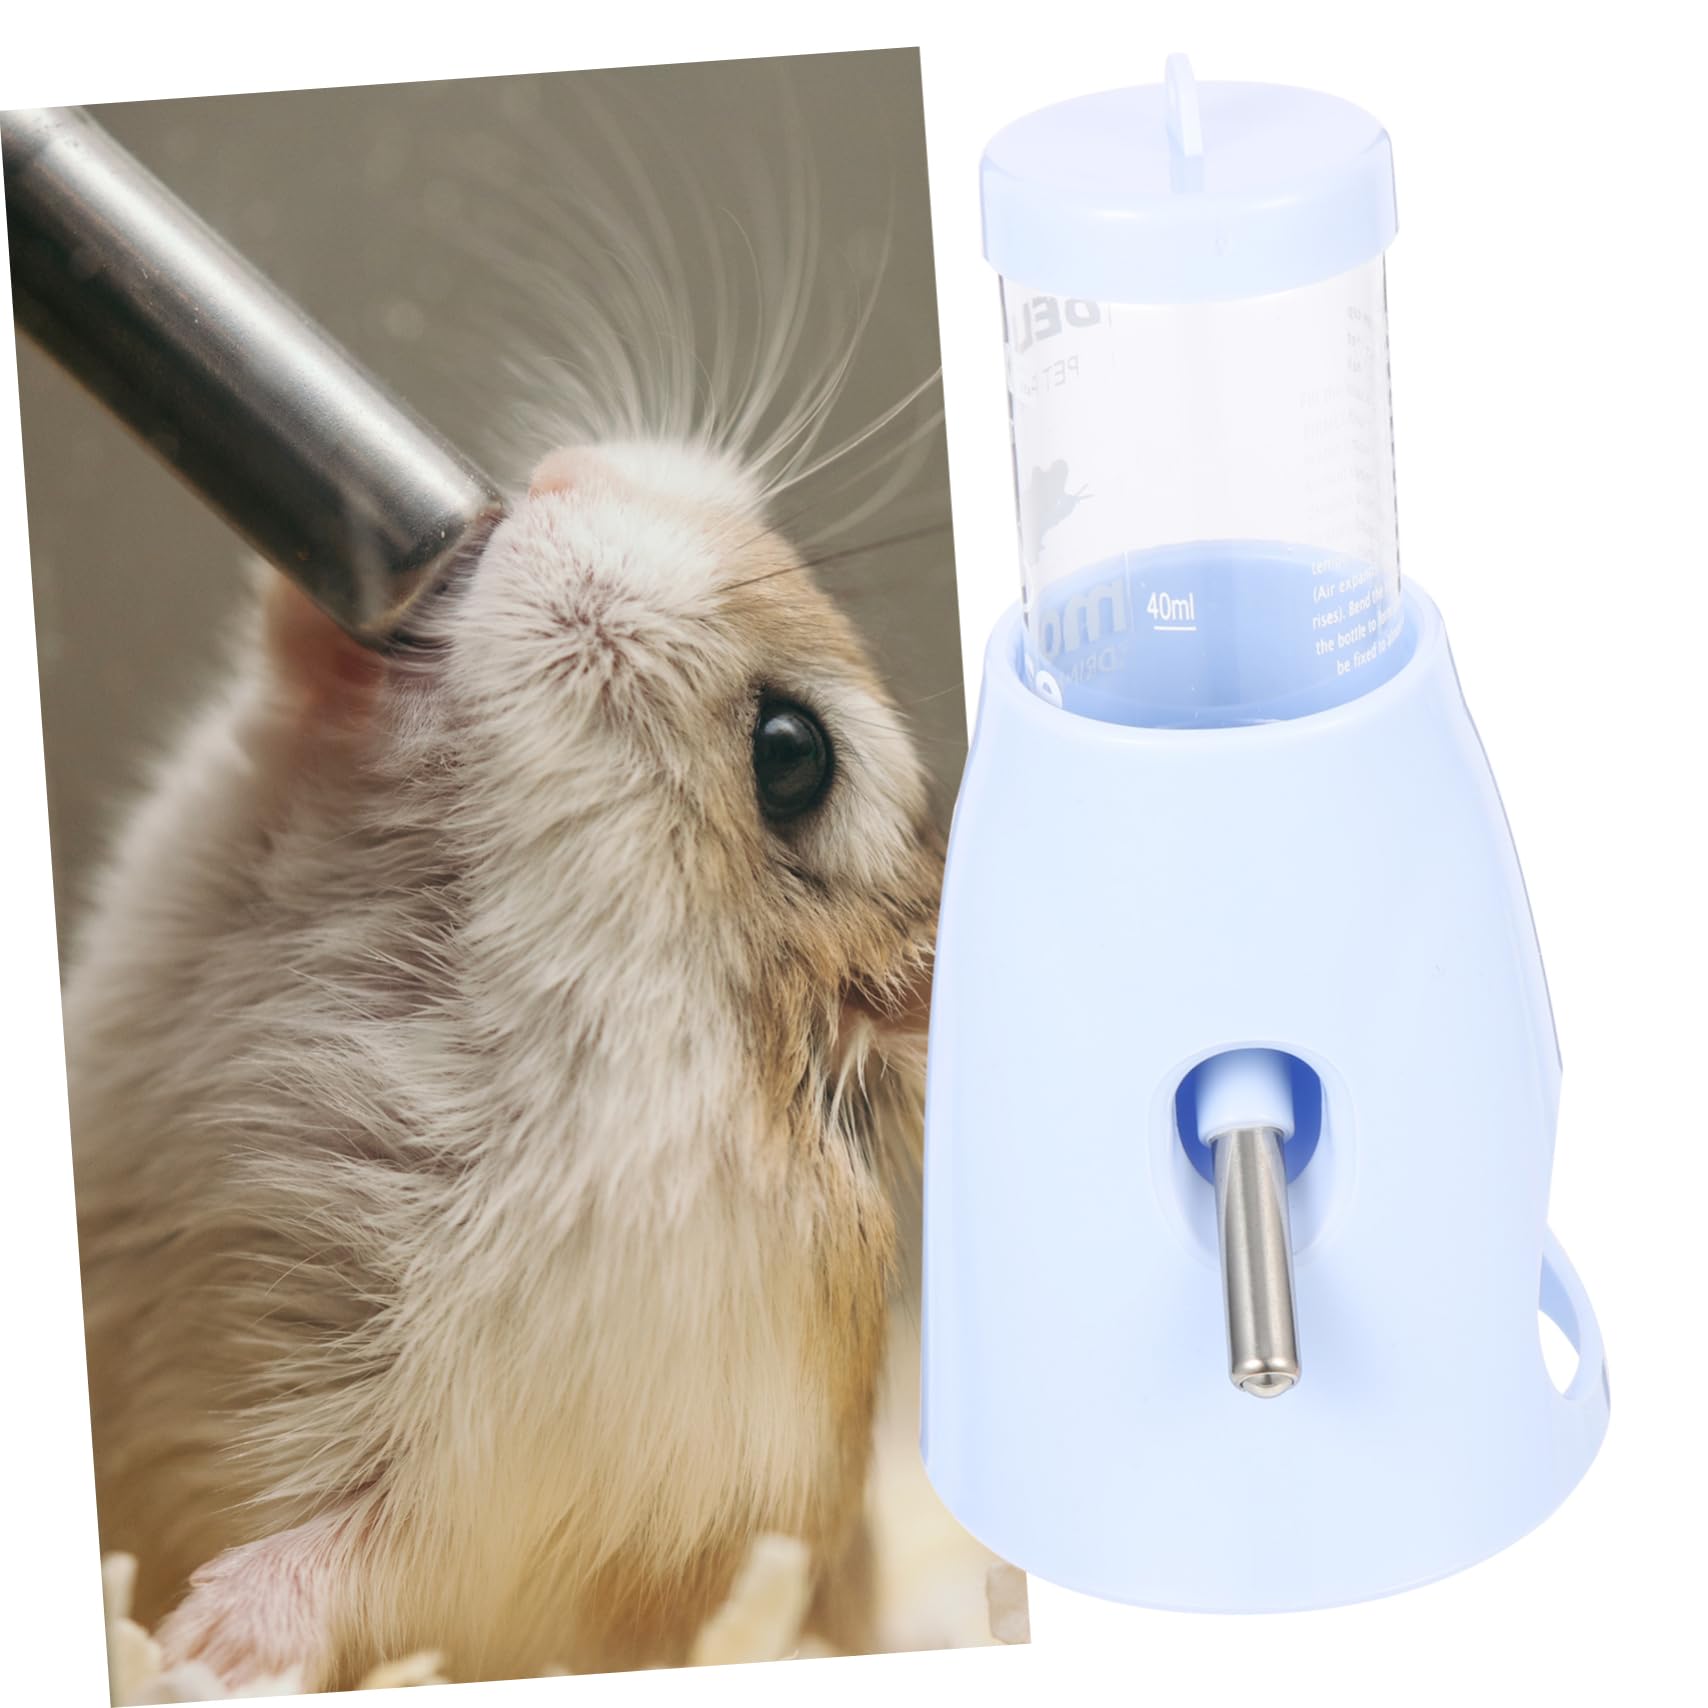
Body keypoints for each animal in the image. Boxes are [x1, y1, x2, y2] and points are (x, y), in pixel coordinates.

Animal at [65, 436, 943, 1687]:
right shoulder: (196, 862)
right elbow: (259, 746)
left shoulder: (550, 1474)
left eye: (792, 754)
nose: (563, 474)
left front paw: (202, 1648)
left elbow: (381, 1554)